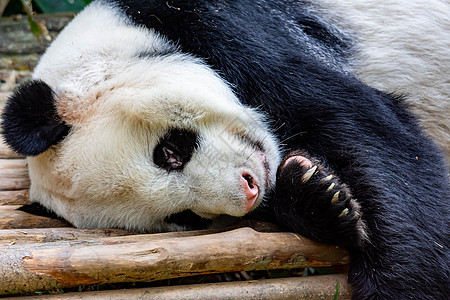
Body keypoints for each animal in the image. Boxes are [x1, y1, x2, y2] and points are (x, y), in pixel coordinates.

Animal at [0, 0, 450, 300]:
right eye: (185, 217)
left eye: (169, 151)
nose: (249, 190)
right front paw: (317, 195)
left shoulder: (224, 27)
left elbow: (366, 128)